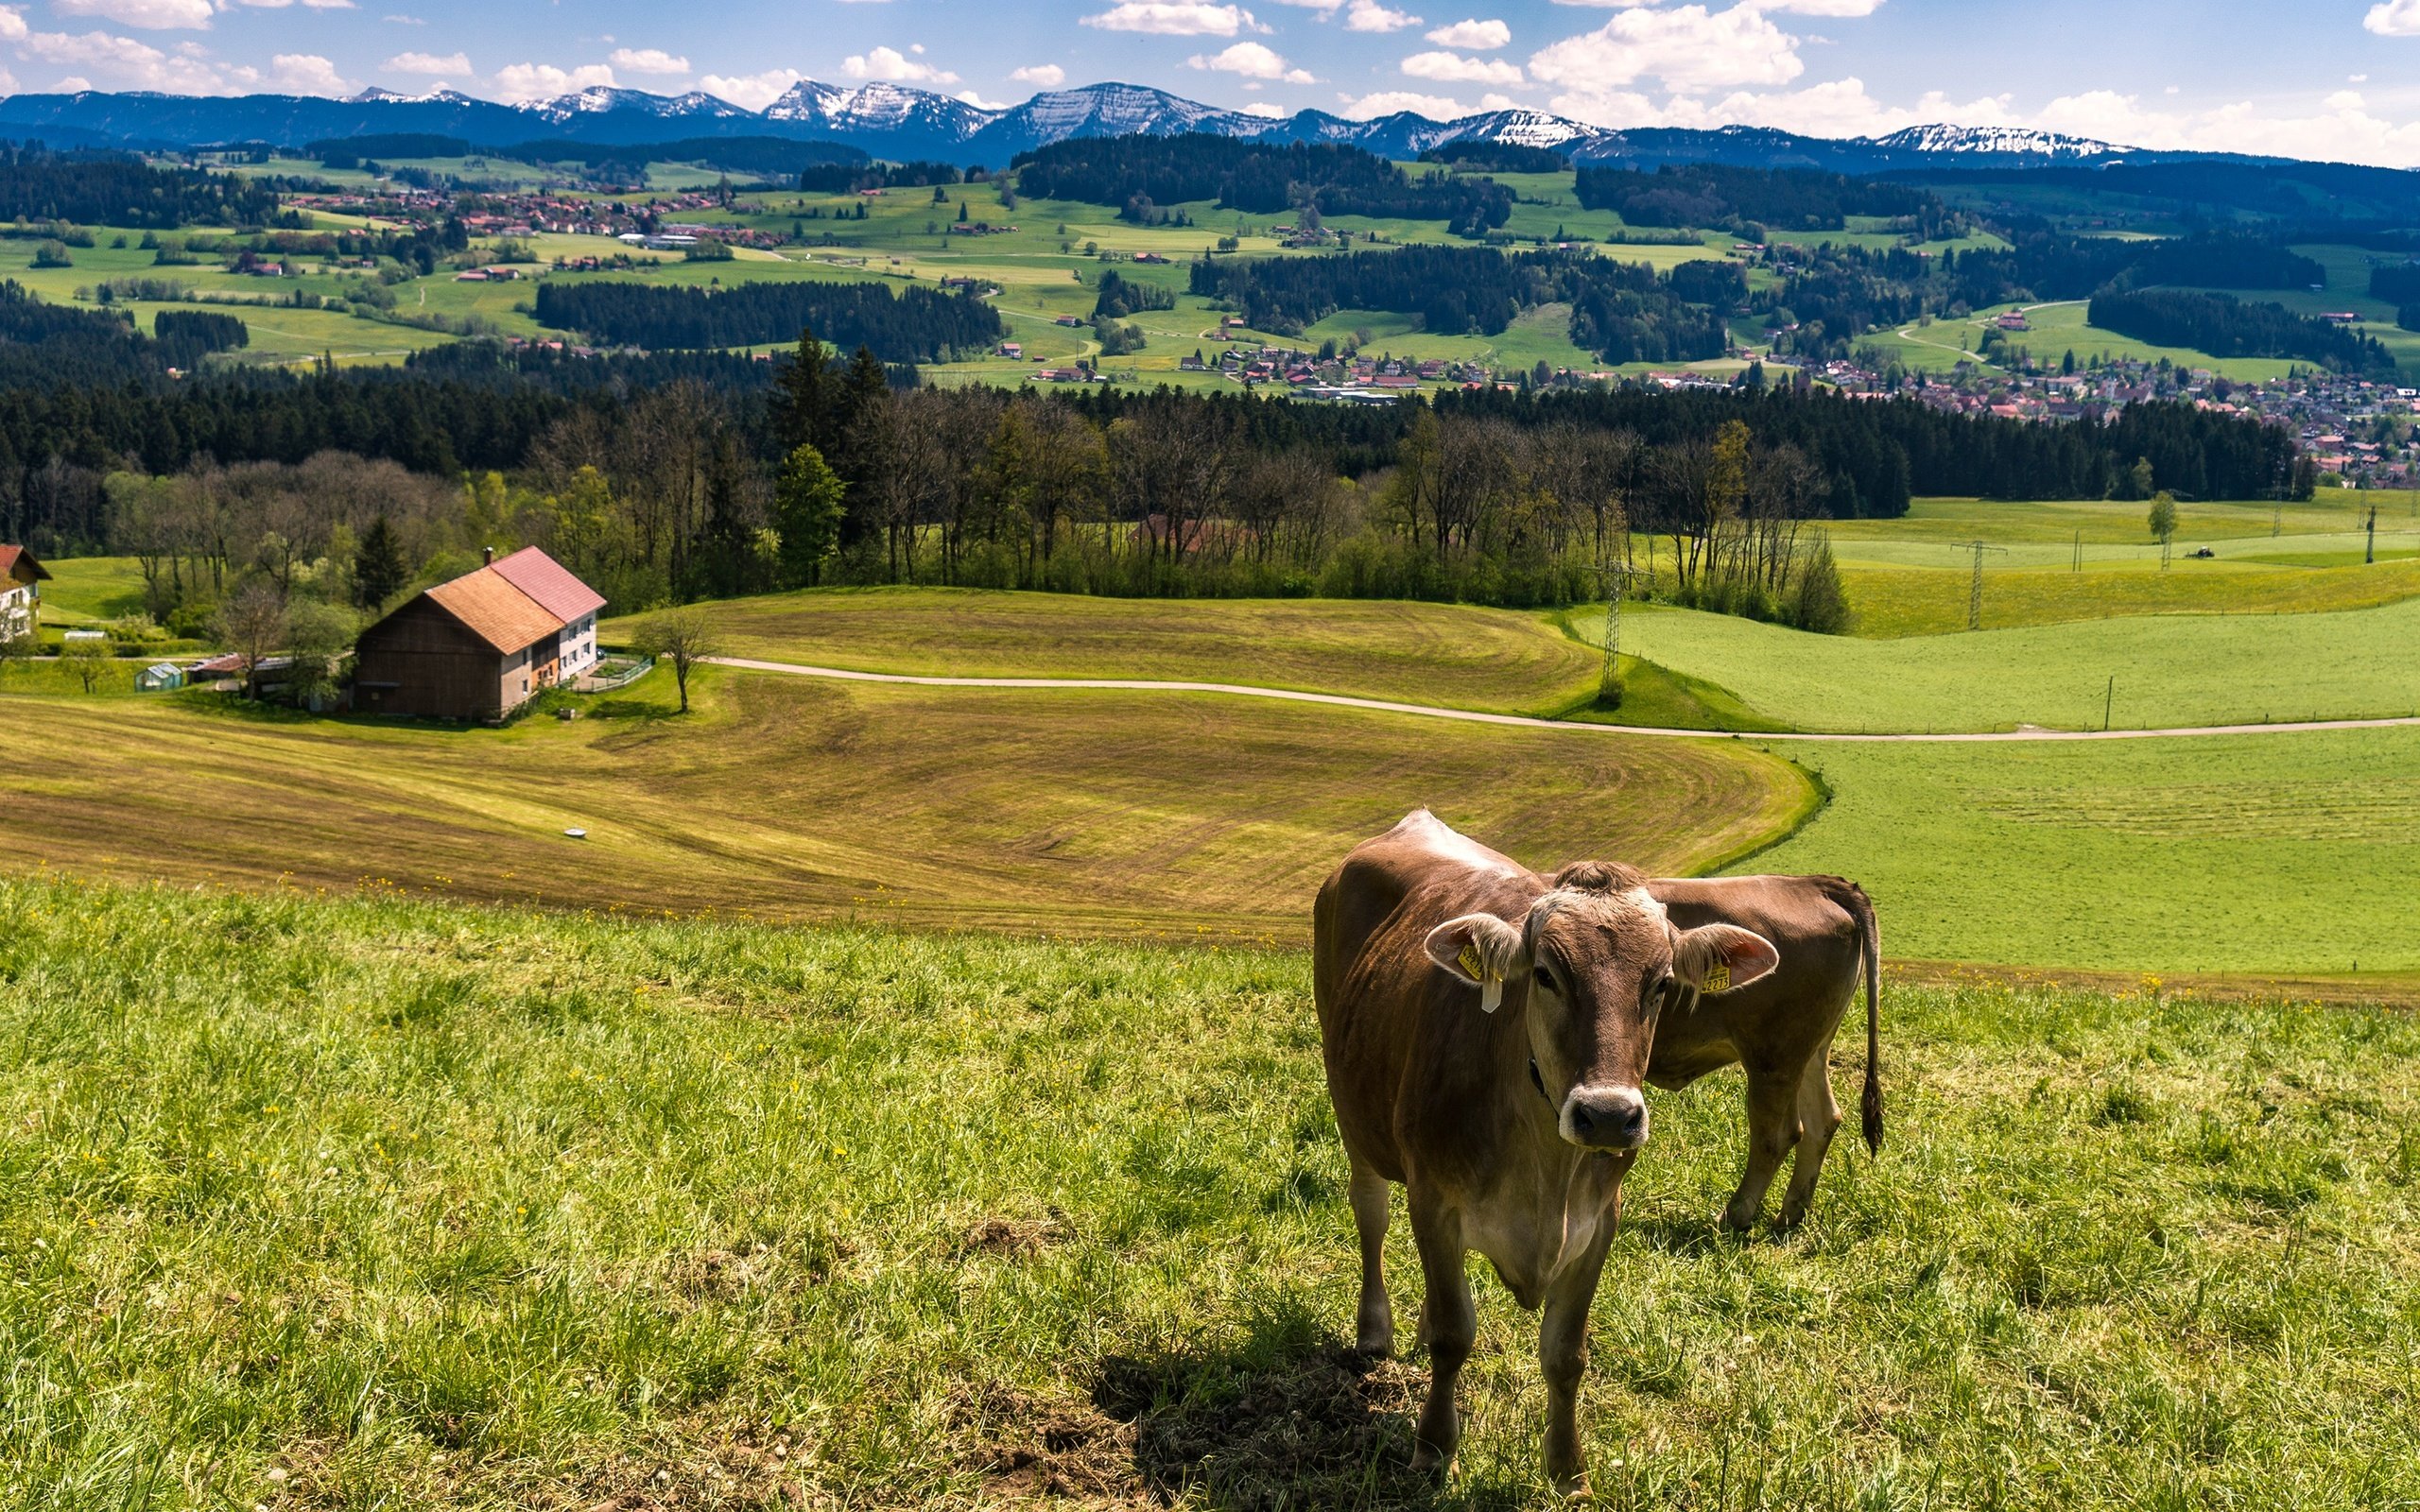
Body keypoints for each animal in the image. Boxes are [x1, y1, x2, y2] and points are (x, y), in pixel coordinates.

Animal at [1316, 808, 1790, 1489]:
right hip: (1353, 1116)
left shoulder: (1599, 1222)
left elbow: (1566, 1353)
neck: (1546, 1169)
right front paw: (1433, 1447)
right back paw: (1374, 1330)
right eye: (1545, 974)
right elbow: (1455, 1337)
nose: (1608, 1116)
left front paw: (1569, 1469)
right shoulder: (1434, 1200)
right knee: (1371, 1216)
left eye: (1661, 983)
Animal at [1655, 870, 1877, 1228]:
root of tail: (1813, 882)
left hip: (1773, 1057)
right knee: (1822, 1121)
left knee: (1776, 1135)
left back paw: (1735, 1215)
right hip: (1808, 1050)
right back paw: (1790, 1214)